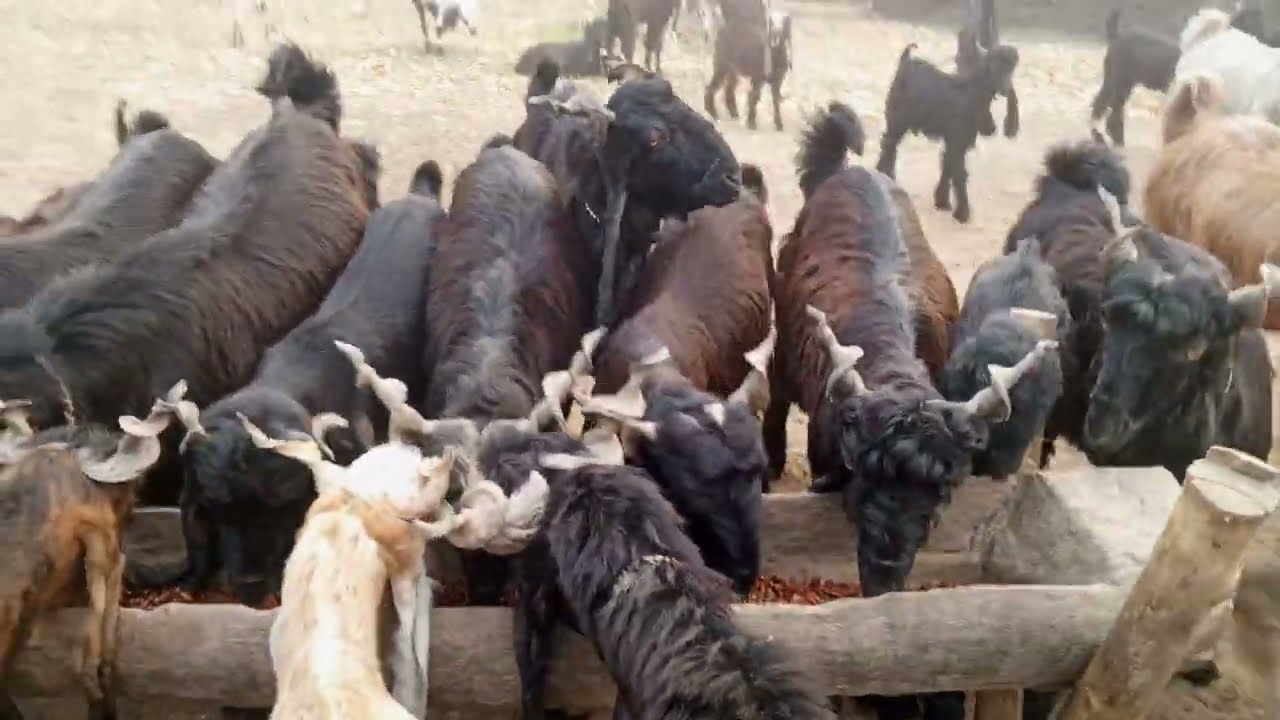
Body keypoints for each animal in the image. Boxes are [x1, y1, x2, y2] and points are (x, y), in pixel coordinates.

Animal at [876, 41, 1019, 223]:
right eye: (994, 66)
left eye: (1012, 68)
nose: (1005, 89)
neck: (970, 93)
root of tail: (906, 62)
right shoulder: (957, 140)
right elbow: (959, 173)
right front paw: (962, 214)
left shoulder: (957, 141)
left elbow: (948, 165)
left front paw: (942, 202)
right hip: (897, 119)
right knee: (889, 144)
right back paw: (886, 176)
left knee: (890, 145)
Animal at [1089, 10, 1180, 146]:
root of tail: (1117, 36)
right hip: (1121, 84)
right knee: (1113, 115)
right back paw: (1117, 139)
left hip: (1114, 81)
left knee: (1099, 104)